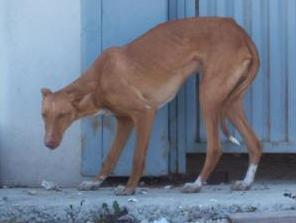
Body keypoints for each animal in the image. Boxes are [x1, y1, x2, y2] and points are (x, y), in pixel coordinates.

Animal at [40, 17, 260, 195]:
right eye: (43, 115)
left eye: (63, 114)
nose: (48, 144)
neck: (99, 77)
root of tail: (239, 30)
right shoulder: (124, 121)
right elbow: (110, 156)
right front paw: (95, 182)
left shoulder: (145, 113)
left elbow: (137, 157)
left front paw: (129, 188)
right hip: (230, 102)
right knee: (255, 143)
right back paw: (246, 182)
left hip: (208, 96)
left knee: (215, 148)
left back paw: (196, 184)